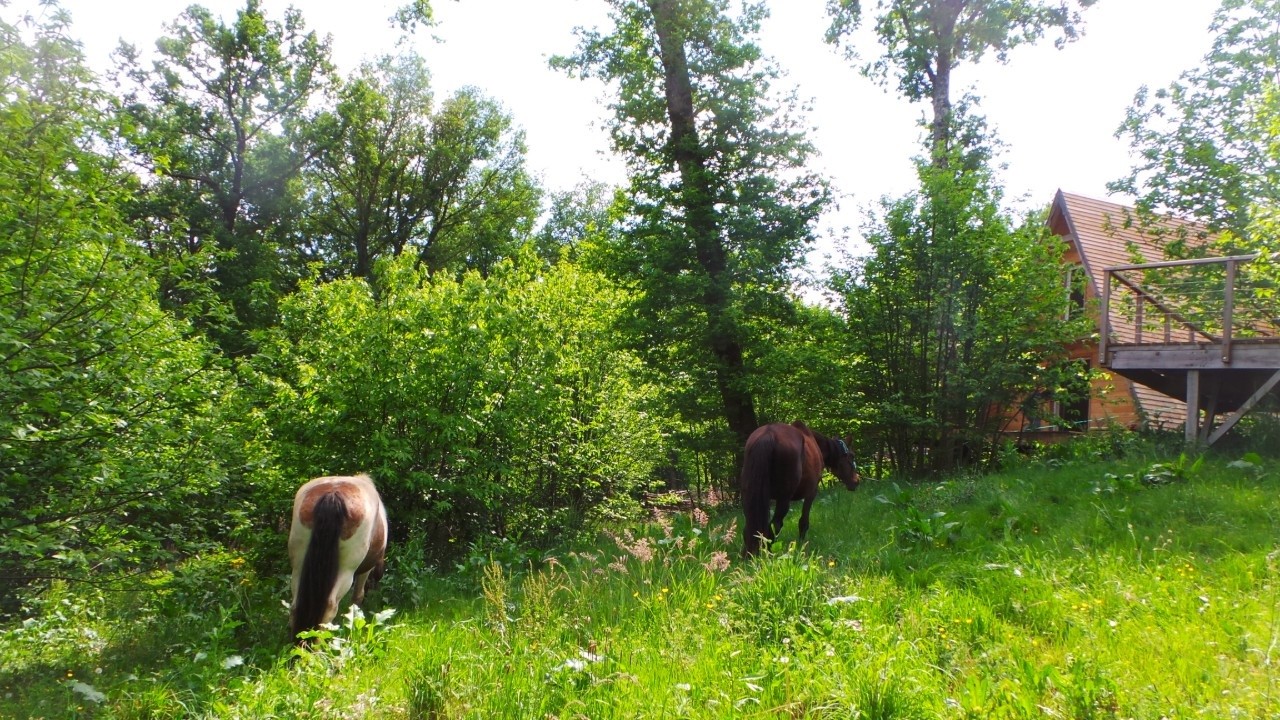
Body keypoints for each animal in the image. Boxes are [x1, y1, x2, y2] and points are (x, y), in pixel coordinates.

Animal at [289, 474, 384, 635]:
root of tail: (332, 494)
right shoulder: (365, 570)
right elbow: (357, 598)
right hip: (346, 571)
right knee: (329, 607)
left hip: (298, 565)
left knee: (296, 604)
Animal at [742, 420, 860, 556]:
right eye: (852, 456)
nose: (856, 481)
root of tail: (768, 434)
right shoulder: (811, 493)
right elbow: (803, 522)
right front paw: (801, 547)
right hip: (783, 499)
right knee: (775, 525)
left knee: (749, 528)